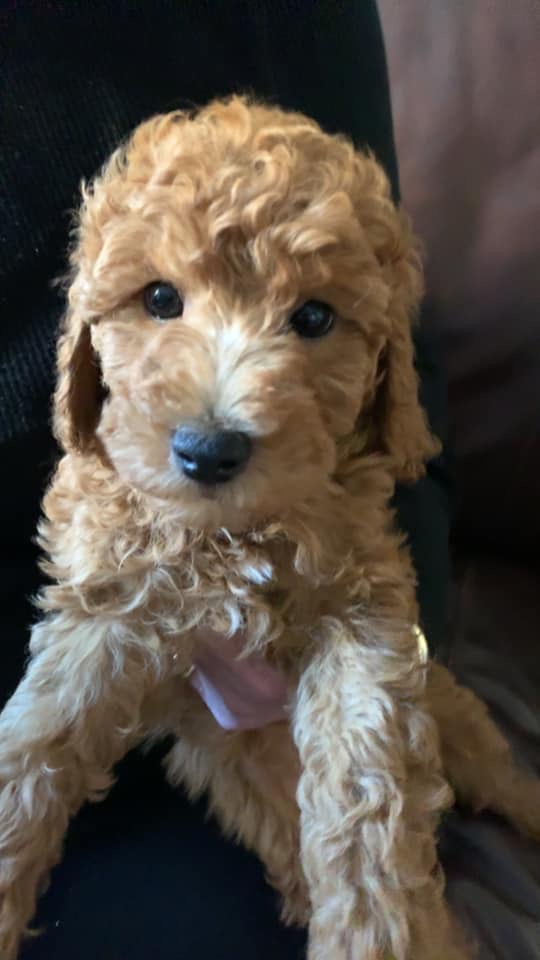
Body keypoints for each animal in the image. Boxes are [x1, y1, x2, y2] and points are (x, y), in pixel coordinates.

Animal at [2, 99, 536, 960]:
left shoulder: (363, 620)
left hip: (460, 720)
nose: (209, 450)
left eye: (314, 316)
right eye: (159, 299)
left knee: (507, 782)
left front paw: (374, 937)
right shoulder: (105, 612)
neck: (229, 536)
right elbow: (34, 749)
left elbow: (365, 799)